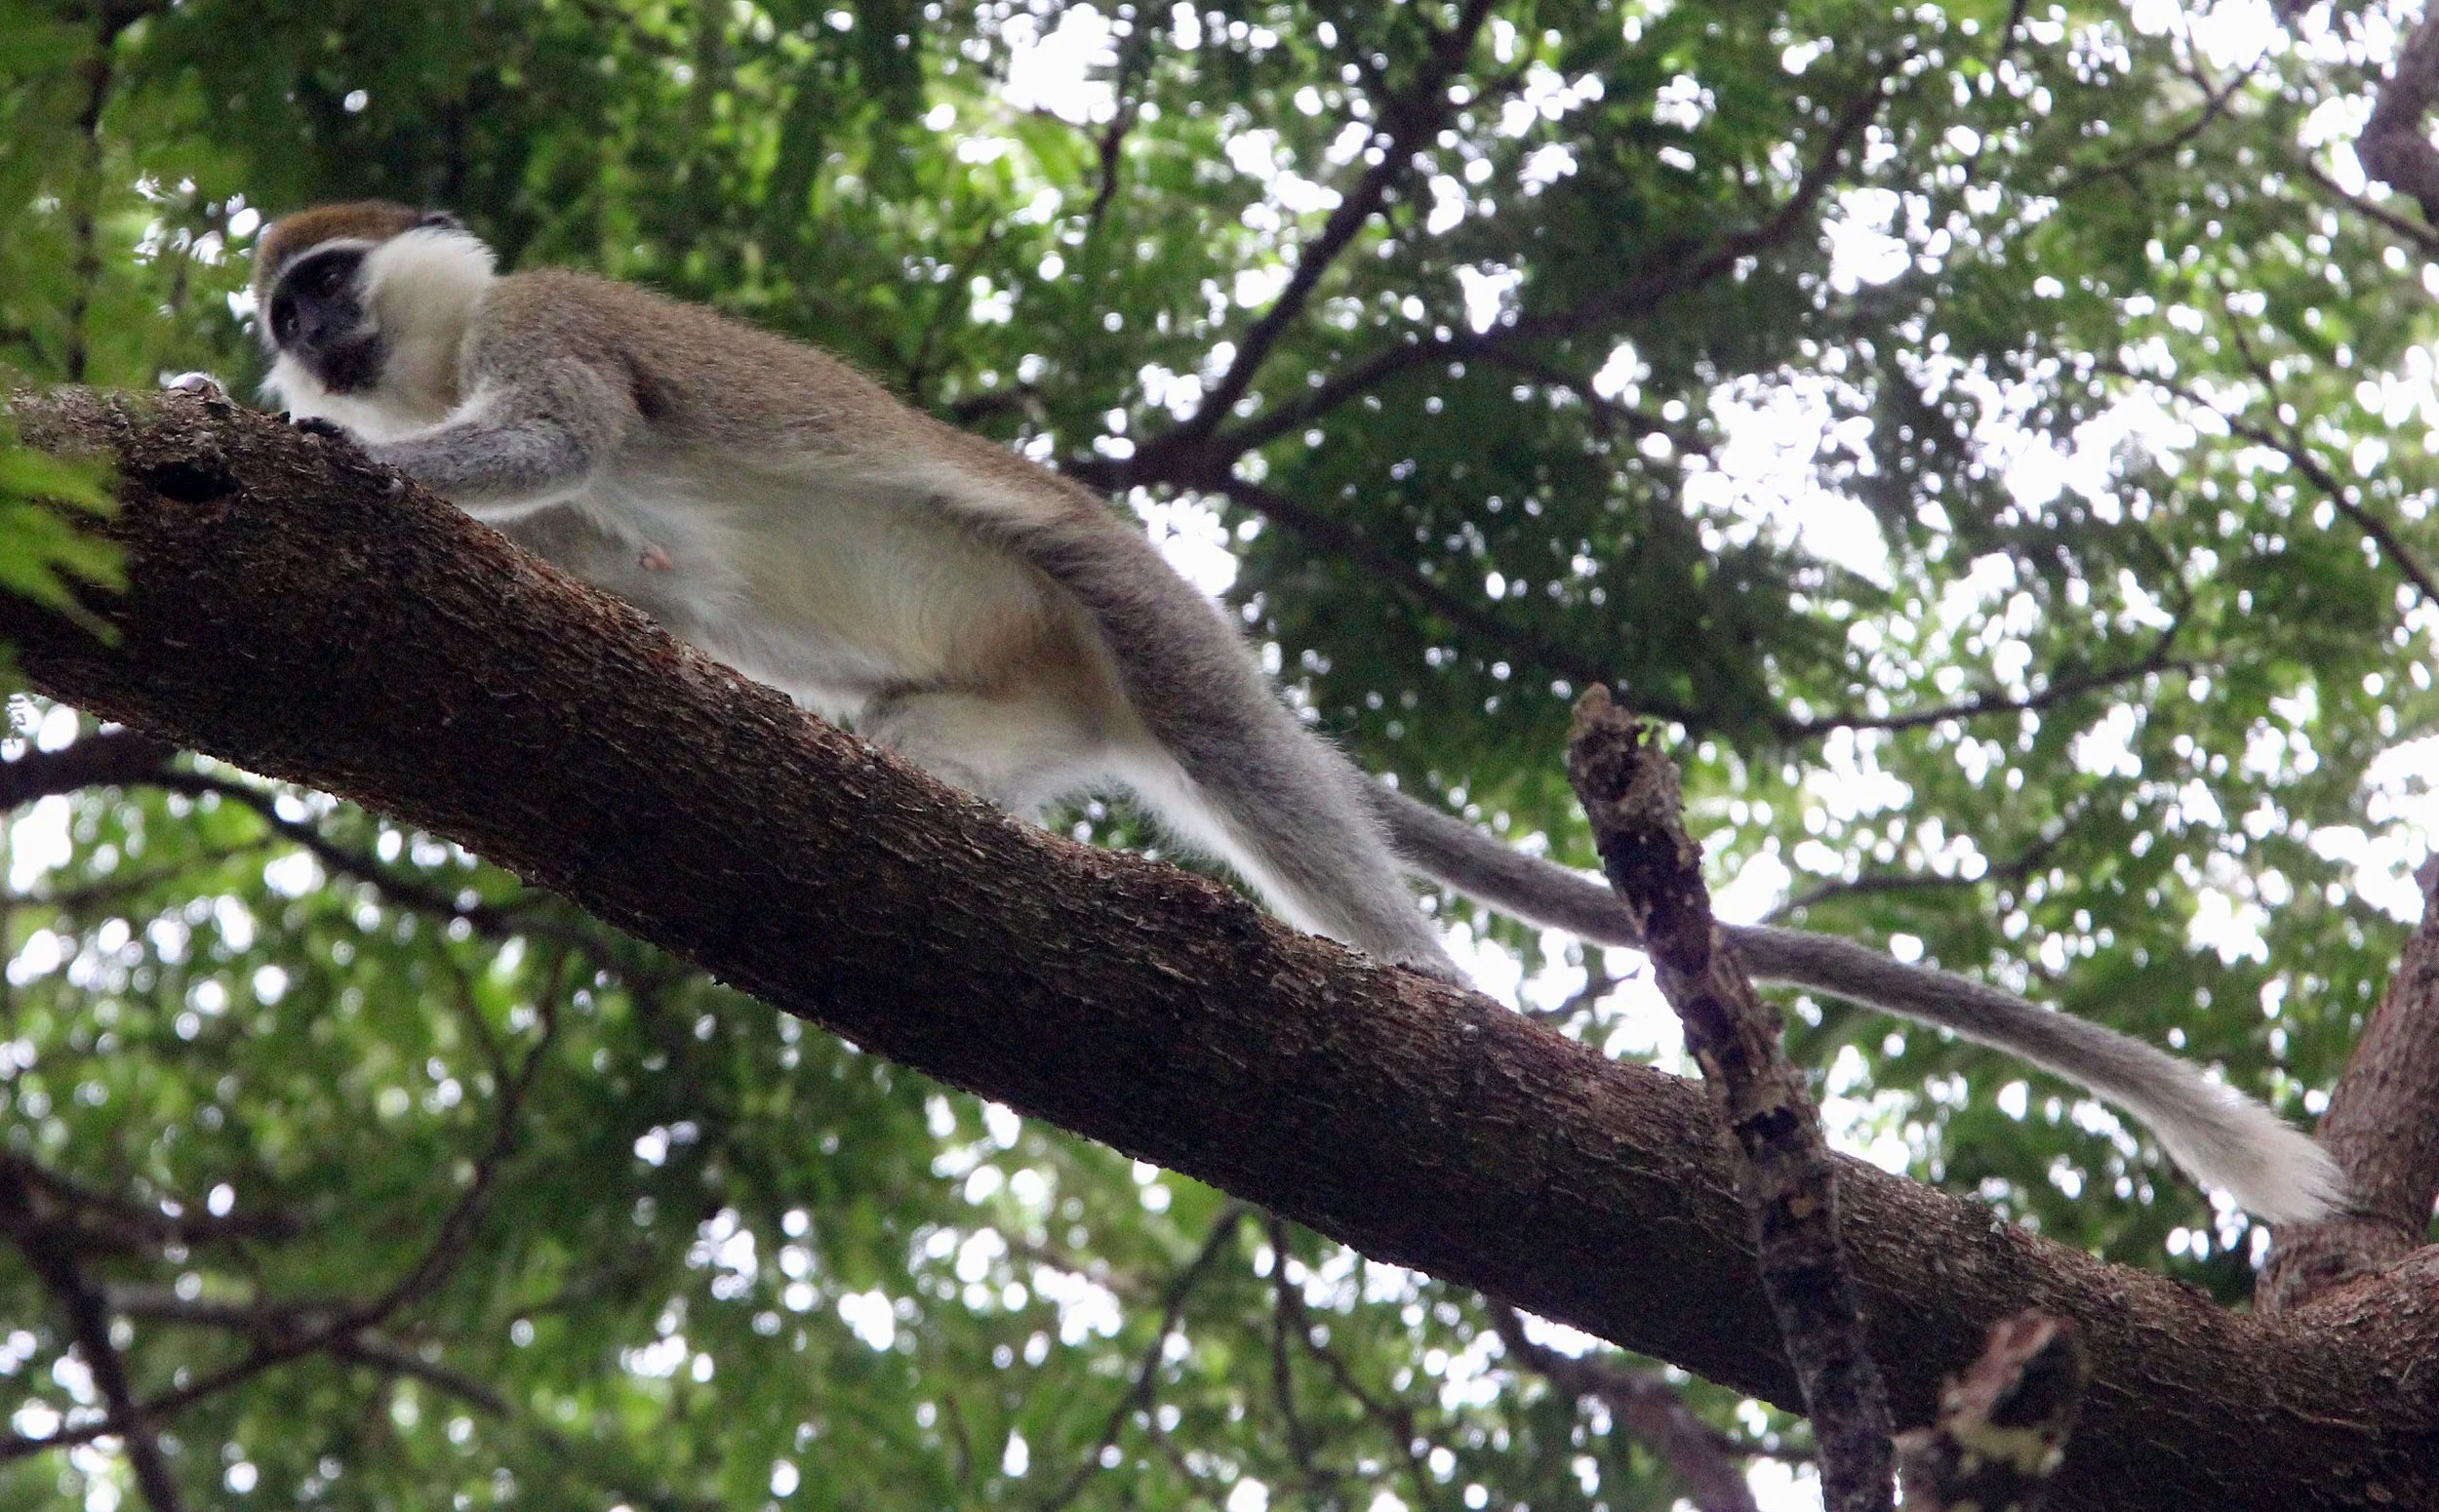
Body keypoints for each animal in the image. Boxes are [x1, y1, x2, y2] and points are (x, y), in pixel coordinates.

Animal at [250, 202, 2343, 1224]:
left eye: (323, 284)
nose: (304, 344)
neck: (438, 347)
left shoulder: (553, 337)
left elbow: (555, 437)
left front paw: (331, 459)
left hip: (1140, 619)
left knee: (1256, 767)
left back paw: (1430, 976)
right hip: (1010, 710)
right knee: (936, 762)